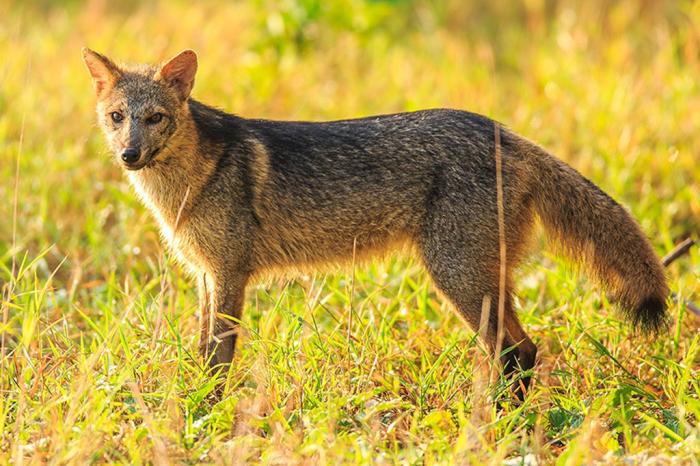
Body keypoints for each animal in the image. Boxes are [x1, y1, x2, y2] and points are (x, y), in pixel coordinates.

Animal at [80, 48, 668, 400]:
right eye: (117, 118)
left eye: (154, 117)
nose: (130, 154)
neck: (187, 185)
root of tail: (503, 131)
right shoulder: (206, 274)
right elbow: (203, 351)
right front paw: (195, 403)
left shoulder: (229, 275)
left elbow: (218, 358)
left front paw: (209, 413)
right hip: (481, 281)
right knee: (522, 352)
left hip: (458, 278)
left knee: (518, 352)